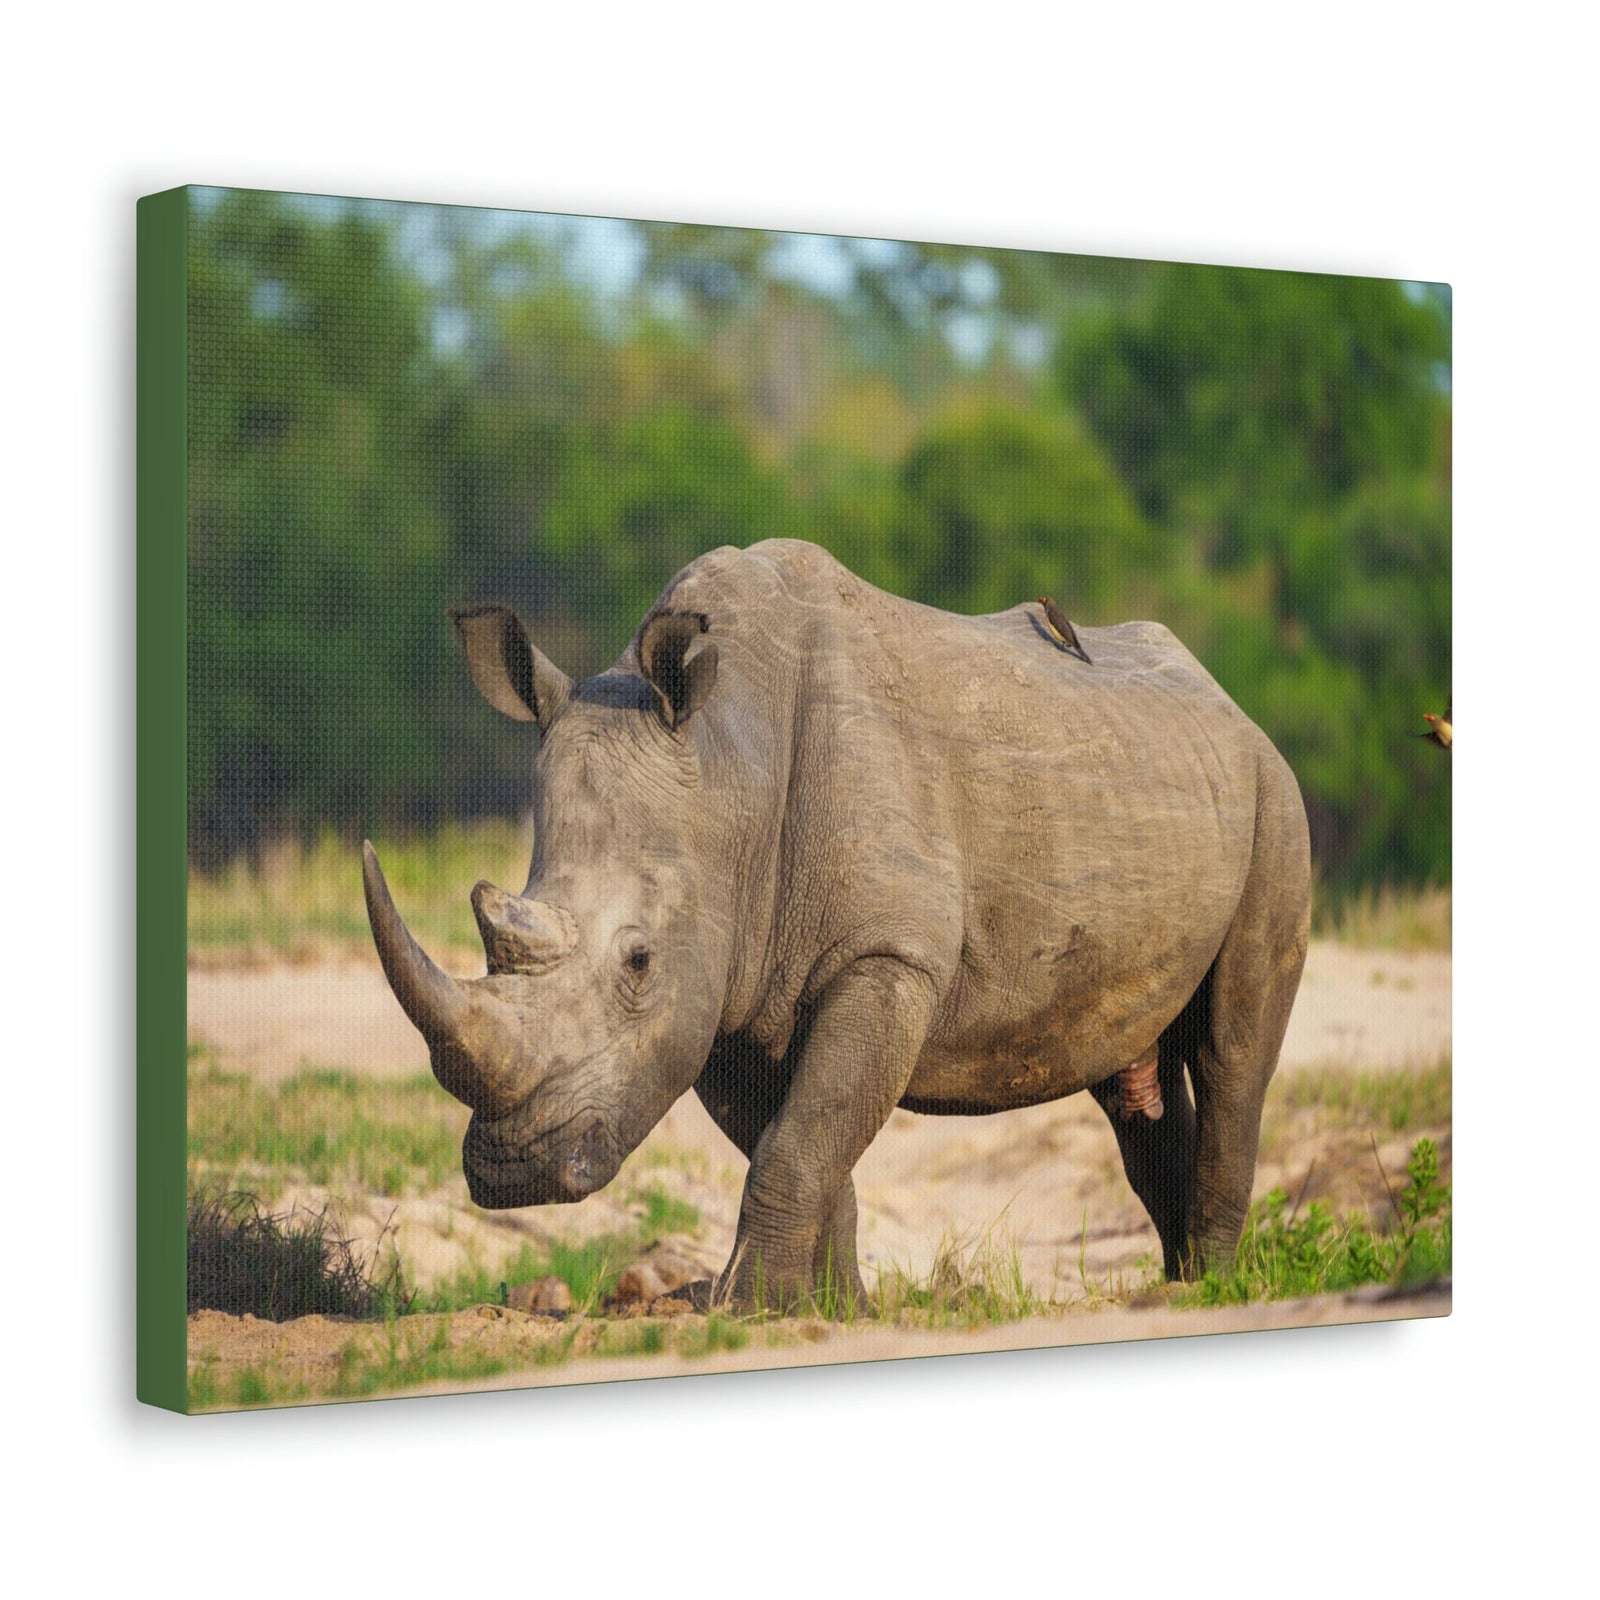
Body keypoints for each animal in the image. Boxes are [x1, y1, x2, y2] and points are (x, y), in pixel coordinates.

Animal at [363, 539, 1310, 1309]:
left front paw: (747, 1308)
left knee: (1233, 1052)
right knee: (1129, 1080)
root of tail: (1224, 697)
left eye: (637, 962)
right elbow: (803, 1143)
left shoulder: (884, 957)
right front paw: (826, 1309)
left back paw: (1213, 1290)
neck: (729, 763)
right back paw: (1177, 1285)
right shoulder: (726, 990)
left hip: (1274, 795)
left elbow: (801, 1139)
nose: (513, 1173)